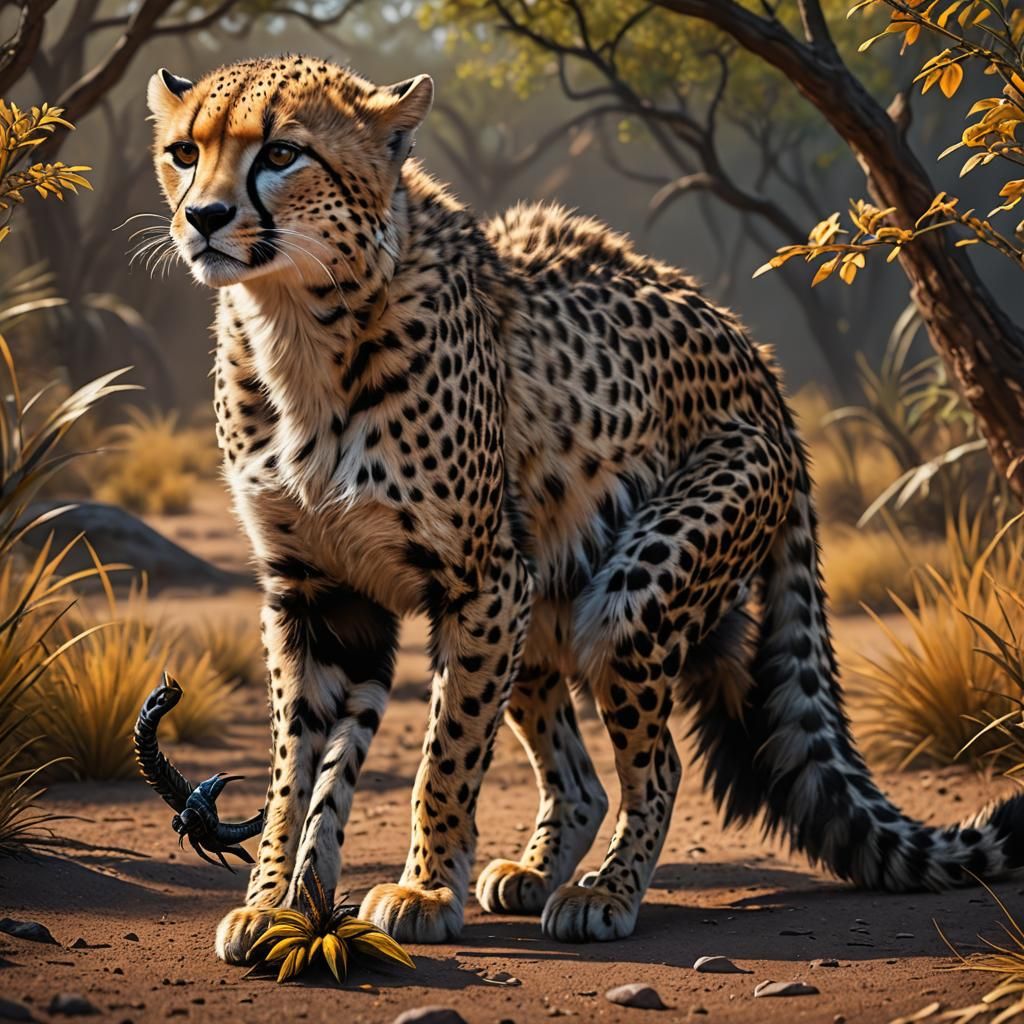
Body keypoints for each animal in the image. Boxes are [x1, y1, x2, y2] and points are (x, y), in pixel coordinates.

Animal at [145, 55, 1024, 963]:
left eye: (282, 152)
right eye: (183, 152)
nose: (204, 218)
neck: (296, 322)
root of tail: (758, 358)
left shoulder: (480, 581)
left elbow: (445, 754)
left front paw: (422, 890)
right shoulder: (318, 590)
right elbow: (300, 768)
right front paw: (281, 906)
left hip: (630, 597)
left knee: (658, 766)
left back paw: (604, 891)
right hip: (541, 603)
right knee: (581, 777)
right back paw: (537, 873)